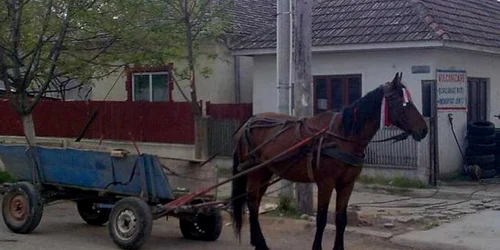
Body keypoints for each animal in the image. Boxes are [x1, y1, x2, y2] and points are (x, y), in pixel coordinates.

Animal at [229, 71, 428, 249]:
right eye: (402, 103)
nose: (424, 130)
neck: (342, 136)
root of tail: (249, 122)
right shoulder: (326, 183)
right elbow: (322, 218)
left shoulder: (347, 184)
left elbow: (341, 219)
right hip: (255, 172)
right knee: (252, 203)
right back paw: (260, 243)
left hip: (265, 172)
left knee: (255, 203)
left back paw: (256, 241)